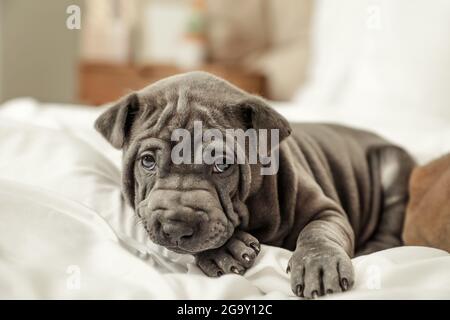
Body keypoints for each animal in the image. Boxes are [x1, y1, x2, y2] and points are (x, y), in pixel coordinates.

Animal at [94, 71, 414, 298]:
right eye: (147, 161)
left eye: (222, 164)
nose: (176, 226)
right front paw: (225, 252)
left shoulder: (326, 211)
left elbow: (318, 233)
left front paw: (319, 264)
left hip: (393, 166)